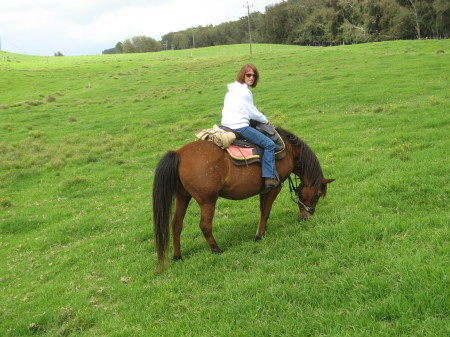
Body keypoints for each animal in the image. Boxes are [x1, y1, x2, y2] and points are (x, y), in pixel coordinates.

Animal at [153, 127, 332, 270]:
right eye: (317, 194)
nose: (306, 216)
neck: (288, 150)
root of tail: (179, 154)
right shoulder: (274, 188)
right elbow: (265, 211)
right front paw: (259, 235)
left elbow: (263, 210)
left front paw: (263, 231)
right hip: (207, 200)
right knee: (204, 225)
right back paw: (216, 250)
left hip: (183, 196)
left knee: (176, 224)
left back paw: (178, 256)